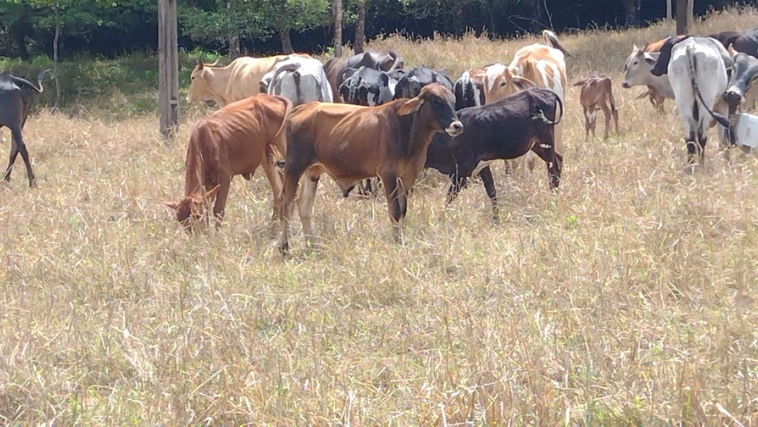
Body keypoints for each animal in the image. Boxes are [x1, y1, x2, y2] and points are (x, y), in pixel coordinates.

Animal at [164, 93, 294, 231]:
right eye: (181, 221)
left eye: (197, 216)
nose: (196, 234)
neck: (204, 139)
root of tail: (270, 97)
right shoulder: (207, 182)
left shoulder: (225, 176)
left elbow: (218, 210)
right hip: (267, 158)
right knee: (278, 190)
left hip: (282, 146)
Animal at [274, 83, 464, 254]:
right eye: (436, 101)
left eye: (453, 101)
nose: (457, 126)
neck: (406, 128)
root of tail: (302, 108)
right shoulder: (388, 176)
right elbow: (395, 211)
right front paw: (397, 242)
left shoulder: (406, 178)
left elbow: (402, 211)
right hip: (294, 167)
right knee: (286, 204)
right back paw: (284, 246)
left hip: (312, 171)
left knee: (304, 205)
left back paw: (312, 245)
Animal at [428, 87, 564, 214]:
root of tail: (543, 91)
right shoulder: (482, 166)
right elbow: (491, 191)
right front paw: (497, 217)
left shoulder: (462, 170)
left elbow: (450, 197)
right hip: (537, 145)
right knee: (559, 160)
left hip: (546, 142)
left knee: (553, 170)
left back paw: (553, 199)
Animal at [652, 35, 740, 171]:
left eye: (665, 49)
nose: (653, 68)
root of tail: (690, 46)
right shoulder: (723, 105)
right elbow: (723, 139)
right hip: (706, 100)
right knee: (702, 135)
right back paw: (701, 165)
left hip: (683, 101)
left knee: (690, 137)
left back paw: (691, 166)